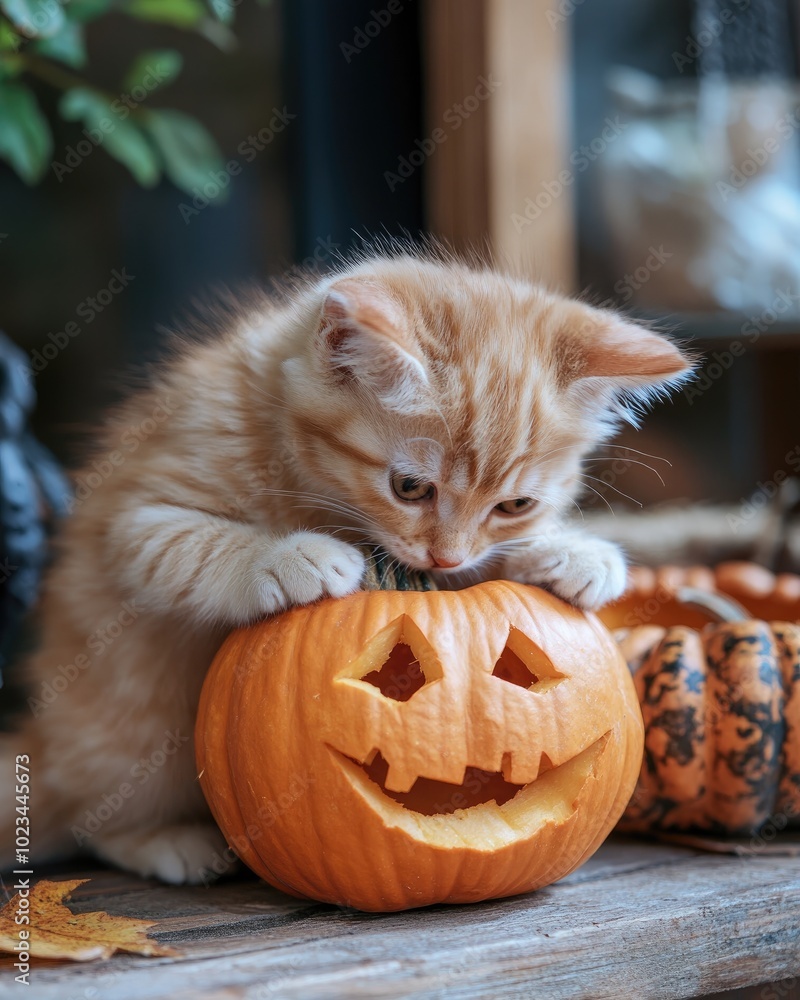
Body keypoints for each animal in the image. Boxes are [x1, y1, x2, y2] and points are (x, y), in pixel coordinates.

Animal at [0, 250, 692, 884]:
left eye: (515, 506)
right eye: (409, 487)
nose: (446, 554)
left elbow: (484, 569)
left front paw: (572, 553)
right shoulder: (133, 519)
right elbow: (194, 545)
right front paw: (290, 557)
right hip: (128, 738)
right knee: (91, 817)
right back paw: (166, 841)